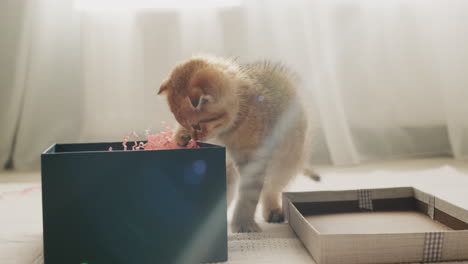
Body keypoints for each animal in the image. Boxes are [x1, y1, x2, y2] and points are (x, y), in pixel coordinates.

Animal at [158, 54, 318, 232]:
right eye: (184, 124)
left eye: (197, 125)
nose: (194, 137)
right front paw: (180, 136)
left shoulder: (254, 162)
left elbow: (248, 197)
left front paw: (243, 223)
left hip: (285, 161)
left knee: (271, 189)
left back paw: (272, 210)